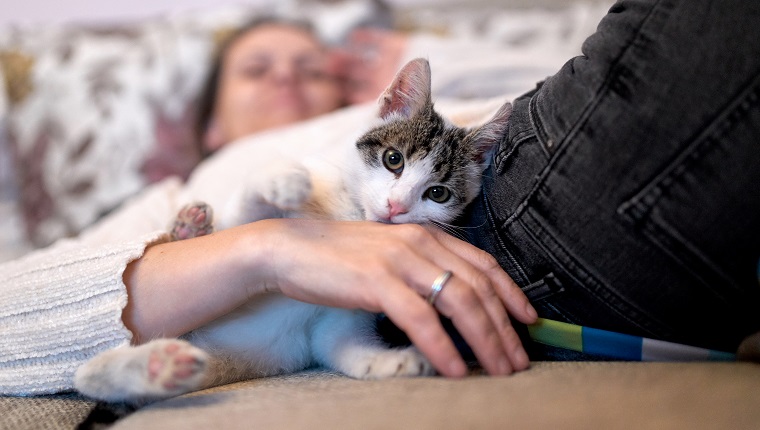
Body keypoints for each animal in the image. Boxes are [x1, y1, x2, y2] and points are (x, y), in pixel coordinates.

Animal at [72, 58, 510, 404]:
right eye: (393, 159)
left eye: (437, 193)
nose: (397, 206)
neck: (352, 214)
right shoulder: (243, 225)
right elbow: (248, 213)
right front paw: (282, 179)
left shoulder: (340, 314)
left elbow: (340, 345)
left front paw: (394, 361)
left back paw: (157, 367)